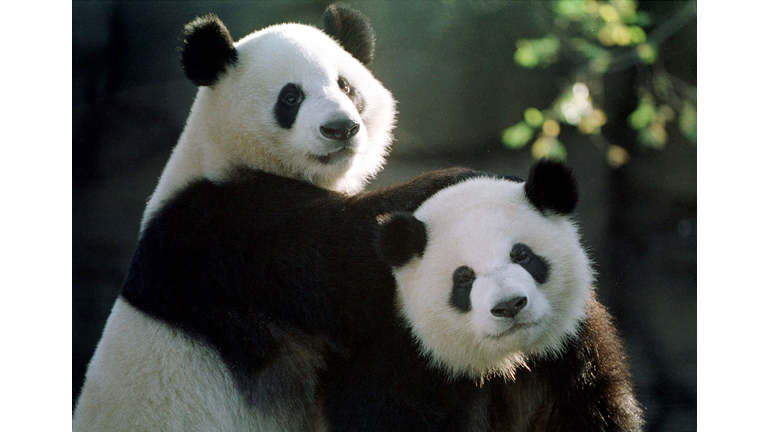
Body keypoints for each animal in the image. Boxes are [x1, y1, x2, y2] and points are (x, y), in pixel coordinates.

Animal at [74, 4, 398, 431]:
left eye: (346, 86)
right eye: (290, 97)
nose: (340, 128)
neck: (223, 154)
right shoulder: (225, 230)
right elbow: (347, 266)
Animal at [320, 160, 644, 431]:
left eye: (522, 255)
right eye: (464, 278)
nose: (509, 306)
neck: (506, 361)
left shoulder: (573, 353)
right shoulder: (399, 365)